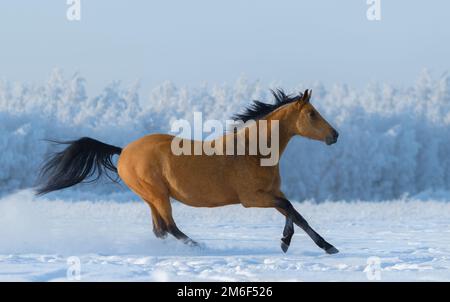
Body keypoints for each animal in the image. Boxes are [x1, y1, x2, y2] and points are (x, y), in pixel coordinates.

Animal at [37, 88, 340, 254]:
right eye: (312, 114)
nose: (335, 135)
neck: (253, 152)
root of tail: (123, 151)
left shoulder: (270, 193)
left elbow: (294, 213)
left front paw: (295, 242)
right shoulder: (252, 198)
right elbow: (292, 210)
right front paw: (312, 245)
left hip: (150, 198)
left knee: (159, 229)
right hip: (158, 194)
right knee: (169, 226)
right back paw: (200, 247)